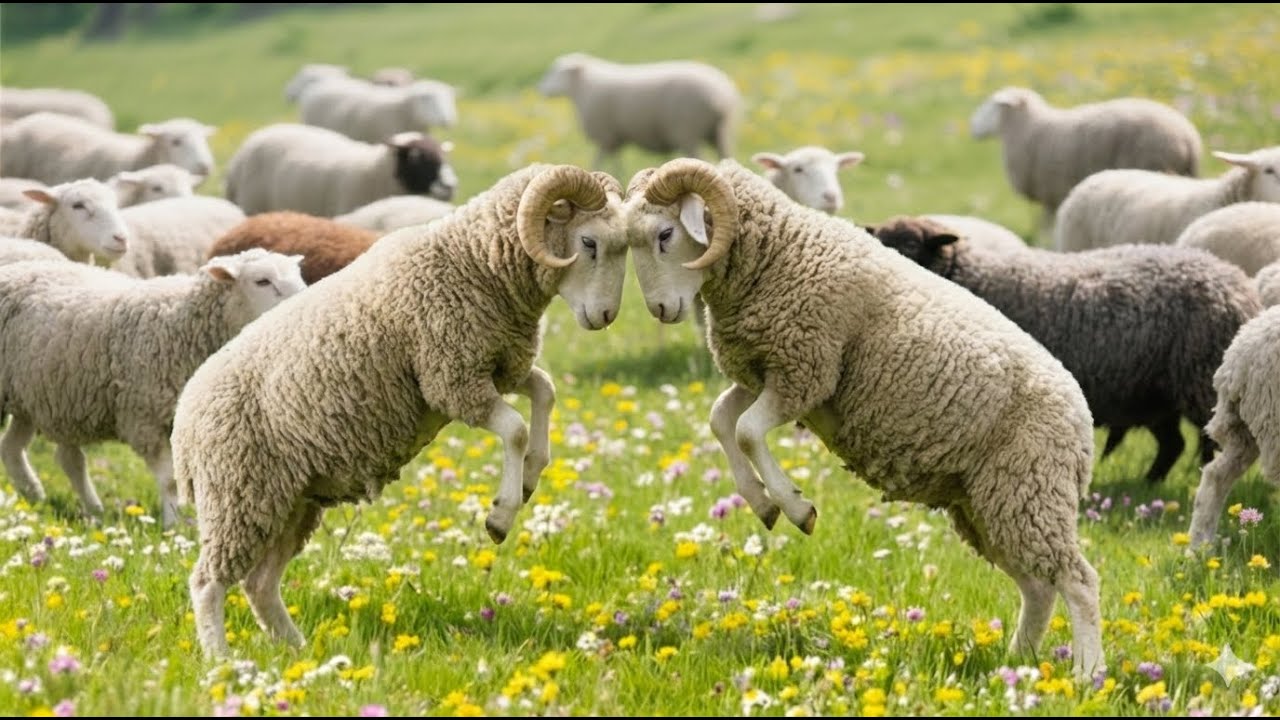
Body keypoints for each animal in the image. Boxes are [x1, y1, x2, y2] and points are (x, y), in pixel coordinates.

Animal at [0, 249, 306, 527]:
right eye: (262, 281)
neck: (183, 323)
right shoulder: (145, 419)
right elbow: (170, 481)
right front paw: (173, 525)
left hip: (42, 399)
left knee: (25, 450)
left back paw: (45, 497)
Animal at [538, 52, 742, 171]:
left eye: (555, 72)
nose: (540, 89)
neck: (582, 87)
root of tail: (719, 94)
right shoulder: (614, 138)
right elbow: (616, 163)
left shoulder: (606, 136)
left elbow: (599, 161)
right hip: (719, 131)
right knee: (725, 157)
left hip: (687, 131)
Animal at [622, 158, 1103, 678]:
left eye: (666, 233)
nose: (661, 309)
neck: (777, 252)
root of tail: (1082, 419)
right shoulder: (764, 375)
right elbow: (720, 421)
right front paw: (763, 503)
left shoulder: (806, 373)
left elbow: (748, 431)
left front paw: (797, 508)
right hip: (990, 503)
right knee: (1038, 587)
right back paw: (1017, 665)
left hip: (1030, 487)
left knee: (1078, 581)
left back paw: (1086, 674)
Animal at [868, 215, 1260, 483]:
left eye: (912, 248)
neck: (968, 277)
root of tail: (1236, 284)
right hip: (1155, 393)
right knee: (1173, 444)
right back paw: (1149, 484)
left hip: (1199, 382)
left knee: (1210, 444)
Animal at [970, 86, 1201, 230]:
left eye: (992, 105)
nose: (972, 128)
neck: (1027, 127)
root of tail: (1188, 137)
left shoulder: (1050, 193)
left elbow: (1046, 225)